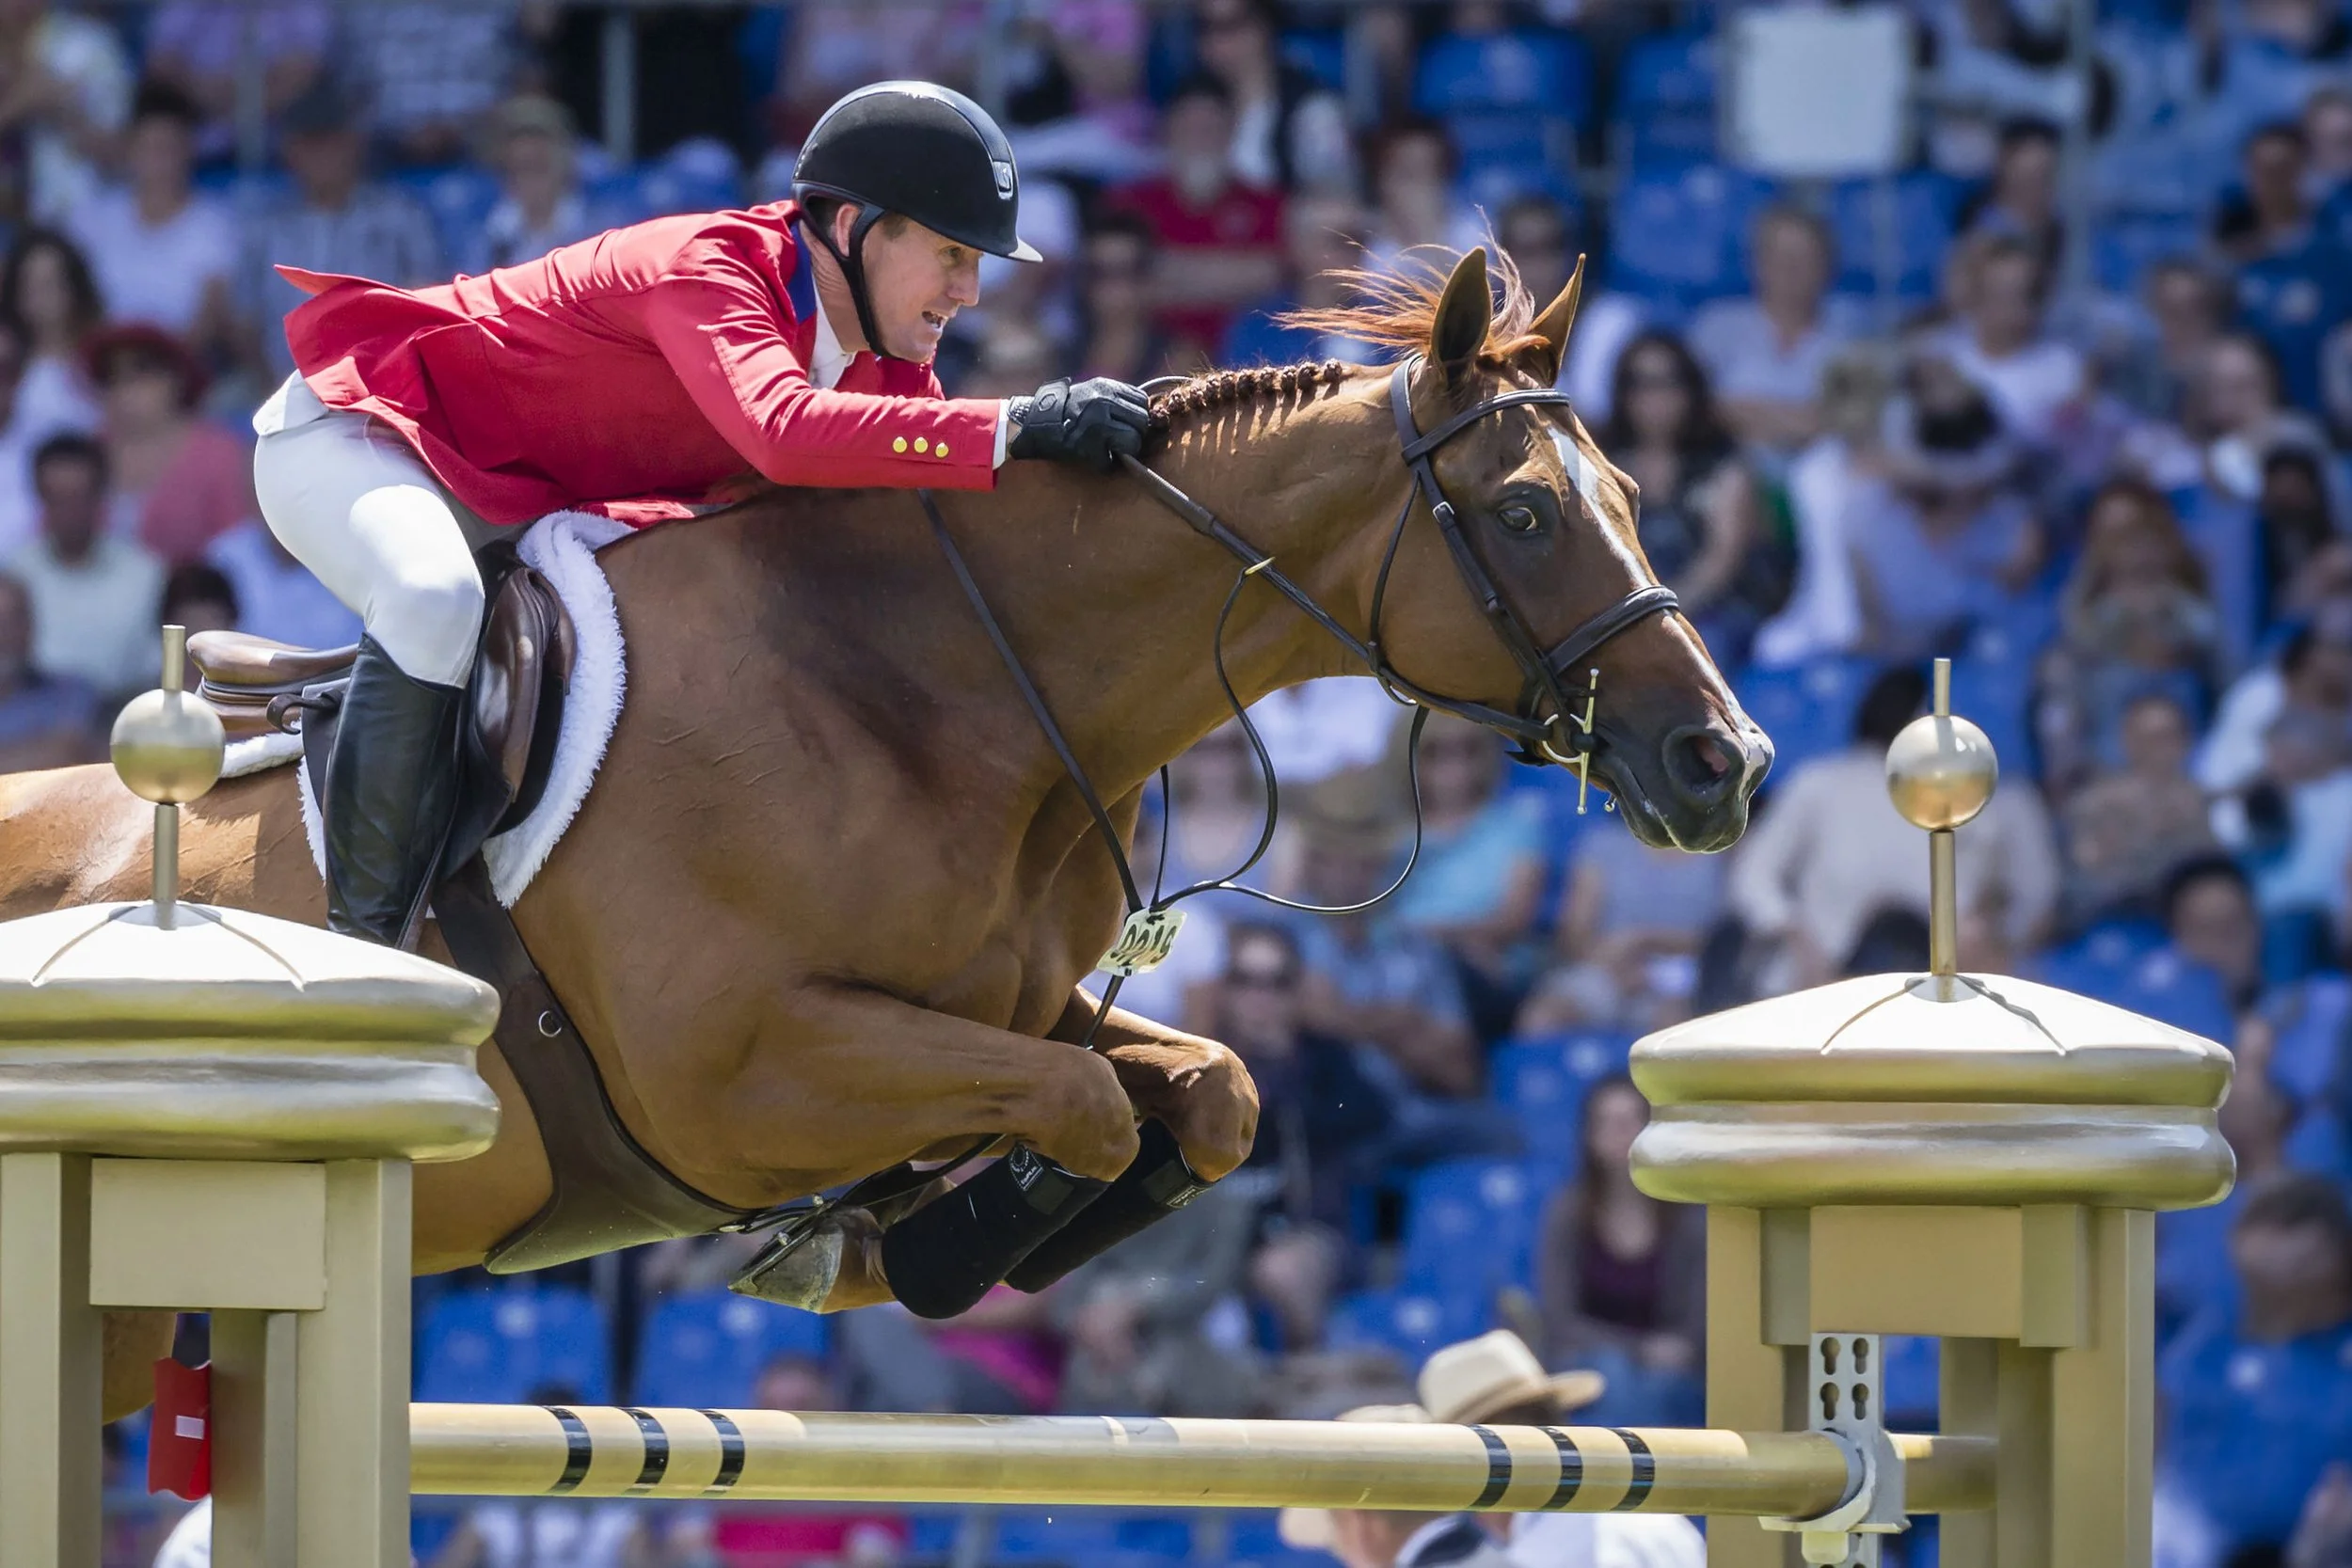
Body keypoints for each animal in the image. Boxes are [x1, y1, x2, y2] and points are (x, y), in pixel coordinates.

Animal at [0, 248, 1770, 1416]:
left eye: (1634, 492)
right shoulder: (738, 1071)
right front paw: (906, 1247)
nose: (1725, 761)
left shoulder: (1004, 1008)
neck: (928, 688)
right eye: (1529, 512)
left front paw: (889, 1241)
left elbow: (1205, 1093)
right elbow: (1085, 1109)